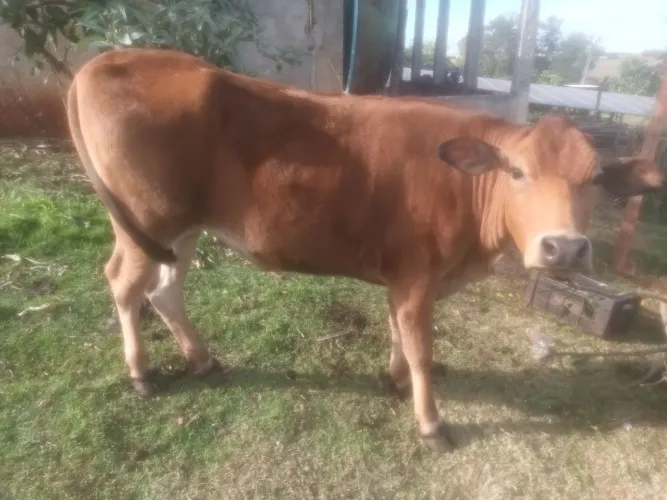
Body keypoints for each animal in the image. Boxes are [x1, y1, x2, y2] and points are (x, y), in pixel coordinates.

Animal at [66, 48, 664, 452]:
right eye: (517, 172)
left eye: (595, 179)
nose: (564, 248)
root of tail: (109, 59)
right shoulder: (418, 276)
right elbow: (420, 346)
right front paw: (430, 424)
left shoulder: (403, 278)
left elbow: (398, 333)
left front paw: (394, 380)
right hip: (145, 222)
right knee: (124, 283)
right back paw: (141, 373)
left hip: (181, 228)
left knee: (166, 290)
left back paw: (202, 359)